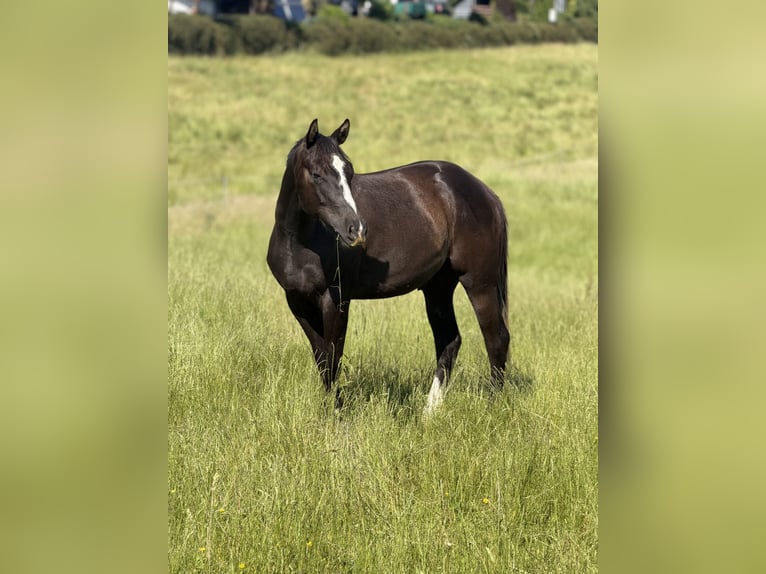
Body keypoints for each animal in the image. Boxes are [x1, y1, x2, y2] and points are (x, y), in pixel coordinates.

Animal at [267, 119, 510, 415]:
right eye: (316, 174)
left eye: (349, 171)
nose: (356, 230)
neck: (300, 241)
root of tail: (485, 193)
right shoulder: (298, 302)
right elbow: (322, 359)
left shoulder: (336, 300)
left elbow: (333, 357)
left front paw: (336, 416)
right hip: (438, 289)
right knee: (449, 341)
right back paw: (428, 413)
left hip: (480, 283)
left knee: (496, 339)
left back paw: (493, 408)